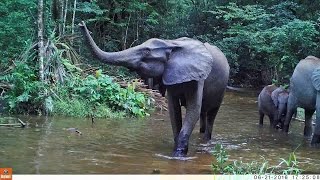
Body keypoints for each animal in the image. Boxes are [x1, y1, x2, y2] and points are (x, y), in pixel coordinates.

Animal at [79, 20, 230, 156]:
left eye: (146, 51)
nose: (81, 24)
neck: (172, 44)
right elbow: (174, 110)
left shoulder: (198, 78)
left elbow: (193, 110)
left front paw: (178, 156)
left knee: (210, 115)